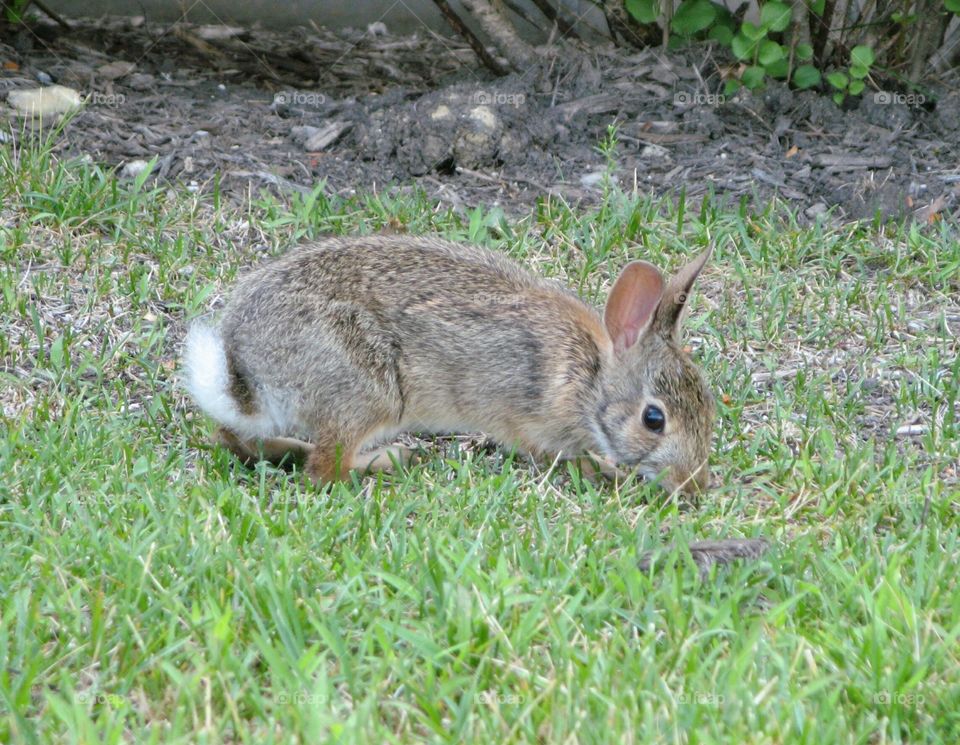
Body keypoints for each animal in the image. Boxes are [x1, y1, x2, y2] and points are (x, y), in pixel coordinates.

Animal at [183, 234, 717, 496]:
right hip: (369, 391)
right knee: (324, 469)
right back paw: (387, 461)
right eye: (654, 419)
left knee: (238, 440)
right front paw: (607, 473)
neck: (587, 378)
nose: (693, 485)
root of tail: (245, 371)